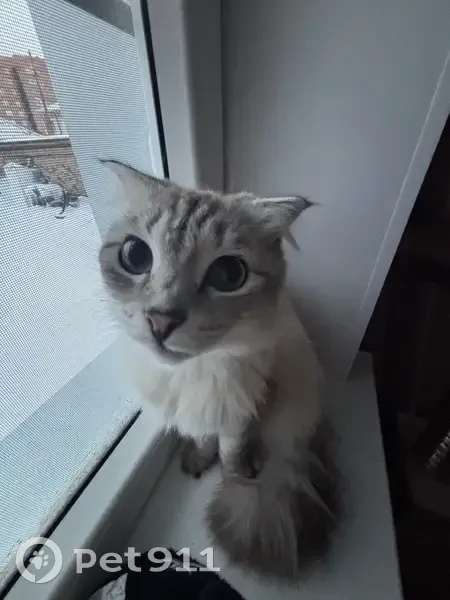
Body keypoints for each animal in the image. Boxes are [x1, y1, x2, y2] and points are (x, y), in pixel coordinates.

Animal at [98, 160, 341, 581]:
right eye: (135, 256)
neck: (191, 374)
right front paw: (199, 458)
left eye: (228, 275)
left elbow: (230, 453)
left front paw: (236, 481)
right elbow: (202, 439)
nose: (161, 320)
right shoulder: (203, 410)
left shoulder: (239, 410)